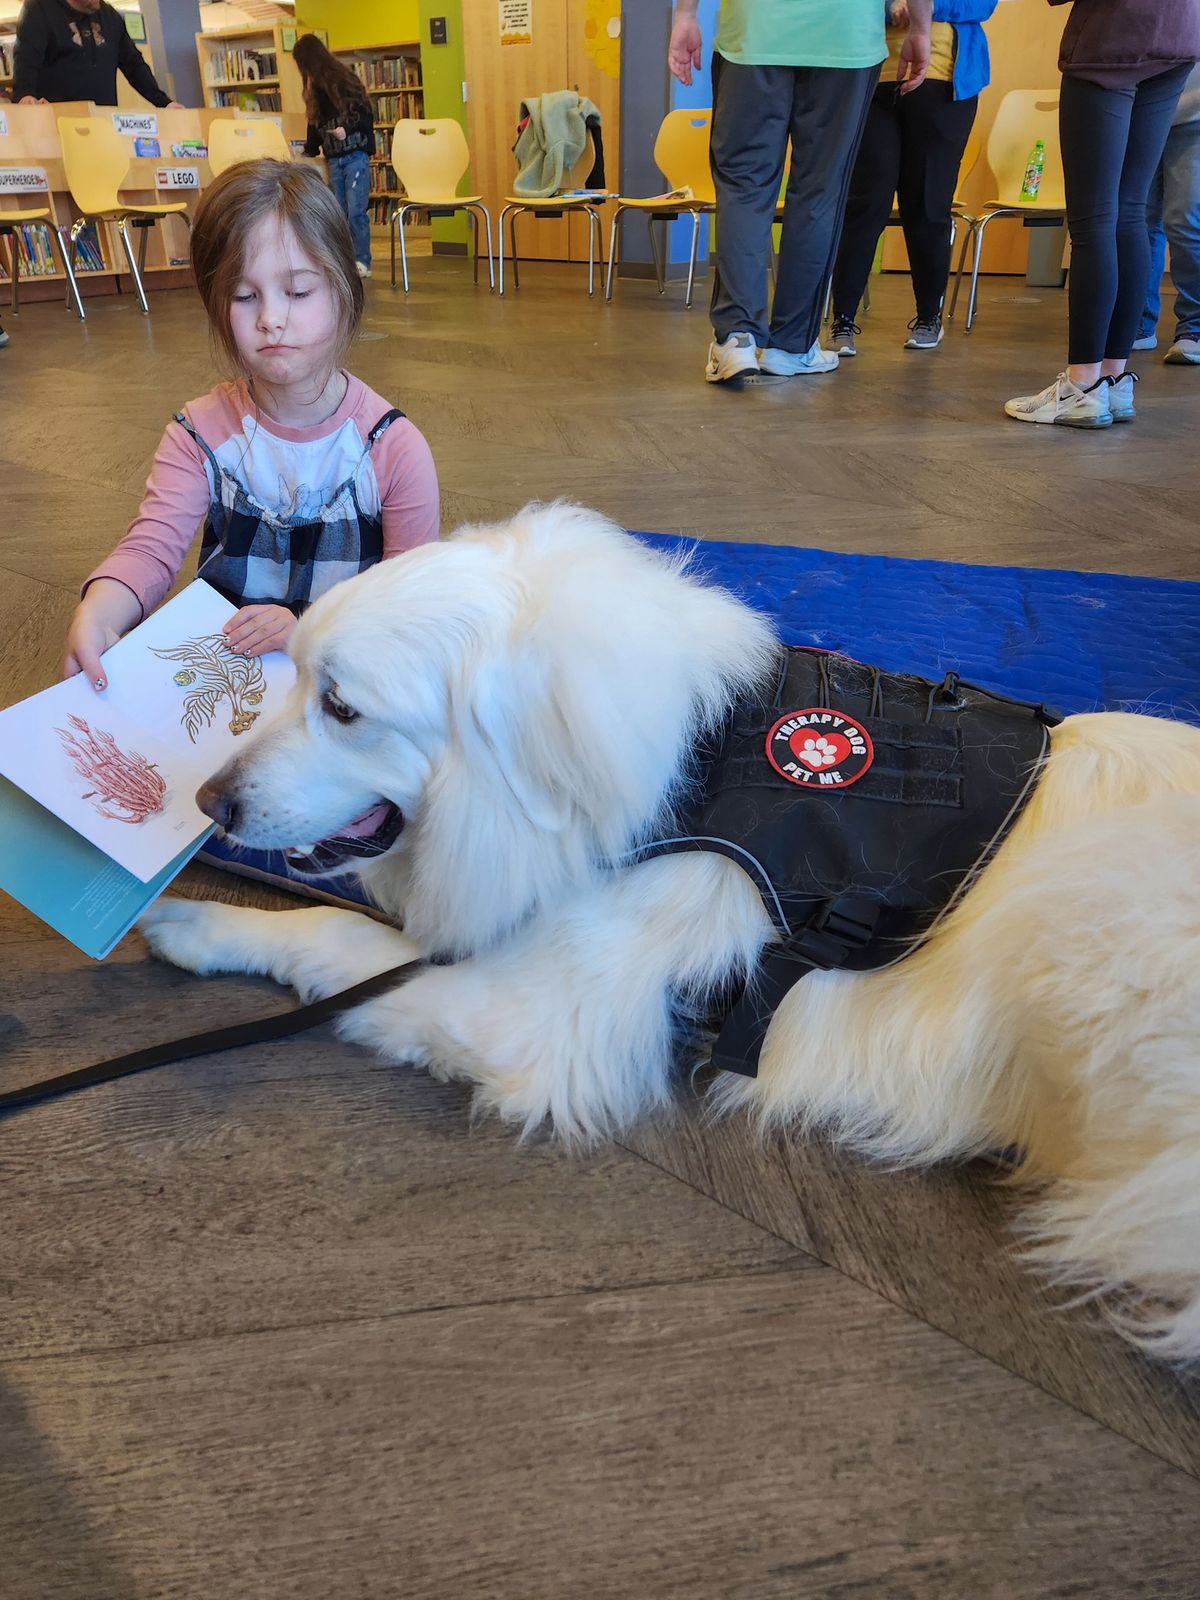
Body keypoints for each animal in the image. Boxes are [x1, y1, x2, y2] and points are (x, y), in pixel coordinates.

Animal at [140, 505, 1200, 1356]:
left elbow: (339, 938)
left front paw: (192, 921)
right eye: (295, 680)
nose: (208, 802)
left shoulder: (541, 1010)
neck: (692, 765)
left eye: (342, 707)